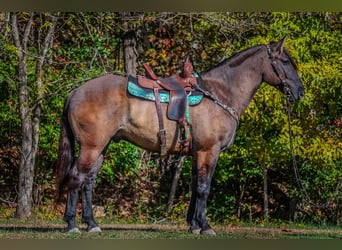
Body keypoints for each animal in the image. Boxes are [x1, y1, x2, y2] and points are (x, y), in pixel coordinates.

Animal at [55, 37, 304, 234]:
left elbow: (196, 187)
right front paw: (205, 226)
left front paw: (193, 225)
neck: (220, 92)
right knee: (76, 177)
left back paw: (91, 223)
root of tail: (75, 92)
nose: (300, 92)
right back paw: (72, 224)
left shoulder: (197, 153)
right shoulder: (208, 151)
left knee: (88, 181)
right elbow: (204, 188)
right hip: (92, 147)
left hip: (101, 147)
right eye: (284, 62)